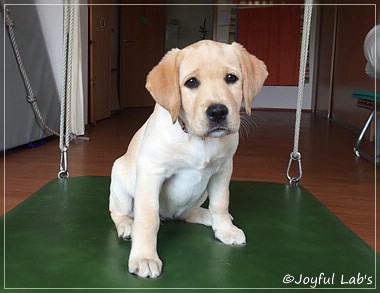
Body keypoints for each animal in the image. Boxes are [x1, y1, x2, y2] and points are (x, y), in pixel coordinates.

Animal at [110, 40, 268, 278]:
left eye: (231, 78)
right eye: (191, 82)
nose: (218, 112)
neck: (198, 138)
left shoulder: (223, 170)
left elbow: (221, 203)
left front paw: (225, 229)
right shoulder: (151, 172)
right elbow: (147, 218)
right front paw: (145, 257)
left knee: (187, 214)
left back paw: (211, 218)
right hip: (119, 180)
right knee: (119, 212)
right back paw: (127, 226)